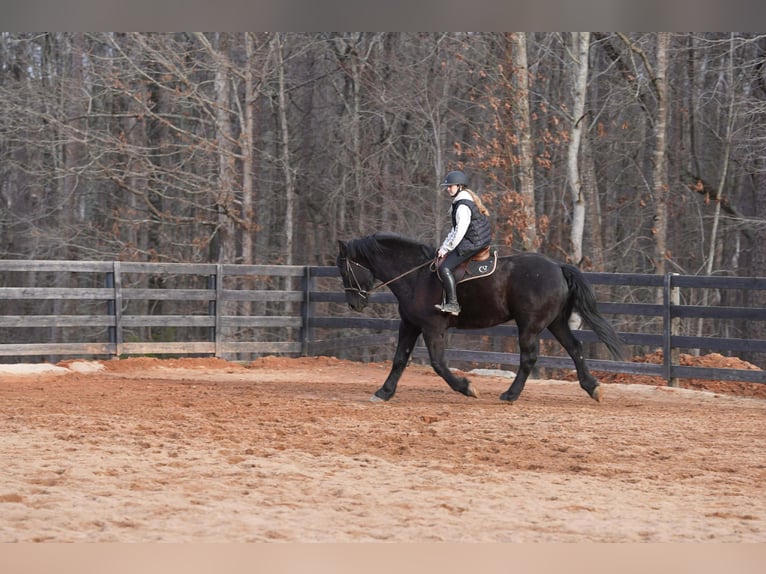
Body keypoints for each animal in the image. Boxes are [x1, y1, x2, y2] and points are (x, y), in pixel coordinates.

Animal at [336, 232, 624, 403]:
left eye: (343, 269)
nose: (354, 304)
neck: (415, 276)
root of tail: (557, 266)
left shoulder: (431, 328)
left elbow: (438, 364)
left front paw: (466, 387)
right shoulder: (410, 325)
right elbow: (399, 360)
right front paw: (384, 392)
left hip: (530, 325)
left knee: (529, 358)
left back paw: (510, 394)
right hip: (556, 322)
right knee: (575, 348)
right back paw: (592, 387)